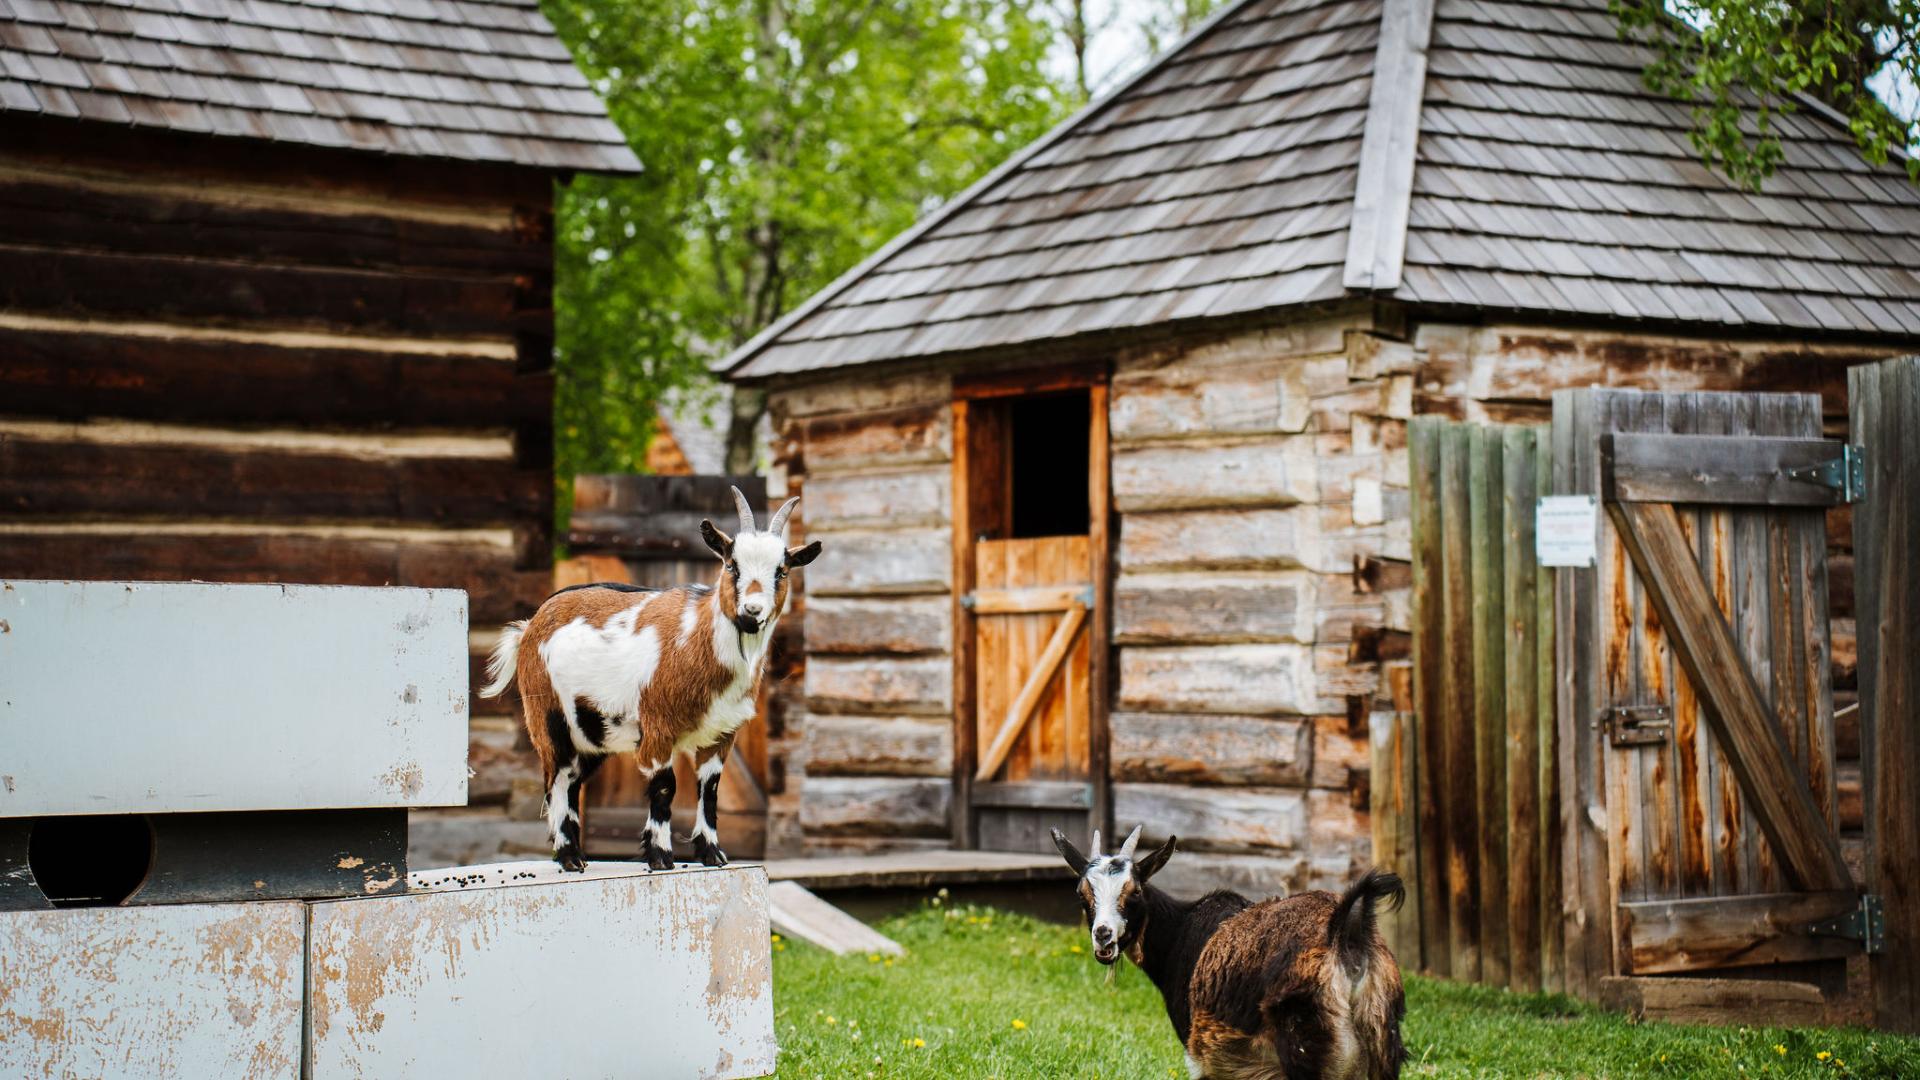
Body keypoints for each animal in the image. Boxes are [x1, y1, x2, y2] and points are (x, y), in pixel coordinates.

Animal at [480, 487, 820, 872]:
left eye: (782, 571)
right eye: (731, 565)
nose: (752, 612)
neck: (699, 639)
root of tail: (529, 627)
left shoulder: (722, 733)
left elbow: (710, 789)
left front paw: (712, 854)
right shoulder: (658, 727)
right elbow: (665, 786)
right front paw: (660, 856)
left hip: (593, 734)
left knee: (572, 782)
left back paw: (579, 855)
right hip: (547, 716)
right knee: (556, 779)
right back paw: (569, 858)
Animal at [1052, 826, 1406, 1080]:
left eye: (1135, 891)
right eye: (1082, 893)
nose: (1103, 936)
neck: (1180, 930)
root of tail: (1346, 932)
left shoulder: (1201, 1056)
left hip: (1305, 1045)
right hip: (1382, 1040)